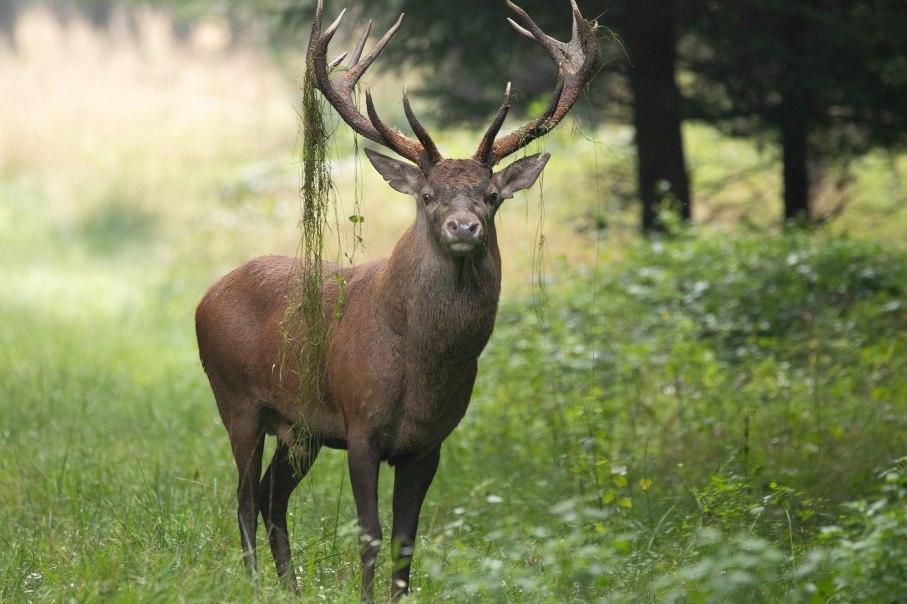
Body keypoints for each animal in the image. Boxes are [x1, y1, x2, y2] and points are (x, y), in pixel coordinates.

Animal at [194, 0, 599, 600]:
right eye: (429, 195)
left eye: (492, 196)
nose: (463, 227)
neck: (420, 367)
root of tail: (206, 296)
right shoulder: (360, 424)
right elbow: (369, 534)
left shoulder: (429, 443)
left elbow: (406, 542)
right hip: (235, 398)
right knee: (244, 497)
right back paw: (254, 584)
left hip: (301, 429)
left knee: (271, 496)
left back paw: (290, 587)